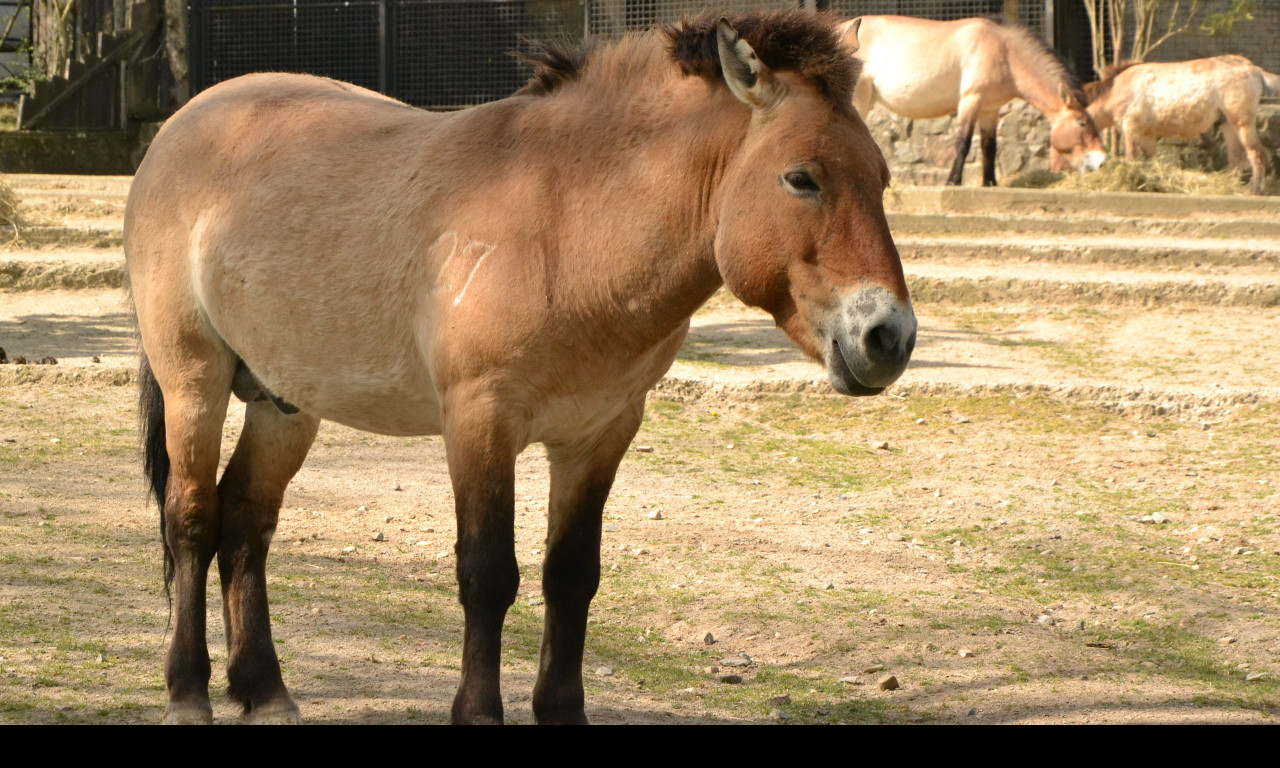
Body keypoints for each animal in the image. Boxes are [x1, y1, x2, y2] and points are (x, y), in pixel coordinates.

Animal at [124, 7, 916, 727]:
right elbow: (487, 574)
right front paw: (477, 711)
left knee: (246, 521)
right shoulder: (480, 422)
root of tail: (182, 124)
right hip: (194, 380)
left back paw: (264, 691)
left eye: (880, 178)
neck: (565, 228)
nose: (889, 337)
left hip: (284, 401)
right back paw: (188, 692)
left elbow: (571, 577)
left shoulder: (600, 434)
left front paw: (562, 709)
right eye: (801, 178)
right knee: (191, 519)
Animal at [839, 14, 1100, 185]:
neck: (1004, 52)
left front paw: (989, 183)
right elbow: (963, 143)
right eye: (1081, 123)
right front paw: (953, 181)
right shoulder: (971, 100)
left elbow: (989, 147)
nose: (1099, 161)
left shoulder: (990, 110)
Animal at [1080, 56, 1280, 193]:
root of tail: (1254, 69)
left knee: (1257, 154)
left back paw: (1255, 190)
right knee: (1237, 158)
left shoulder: (1131, 128)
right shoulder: (1147, 135)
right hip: (1228, 125)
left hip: (1242, 123)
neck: (1116, 90)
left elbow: (1131, 158)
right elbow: (1153, 162)